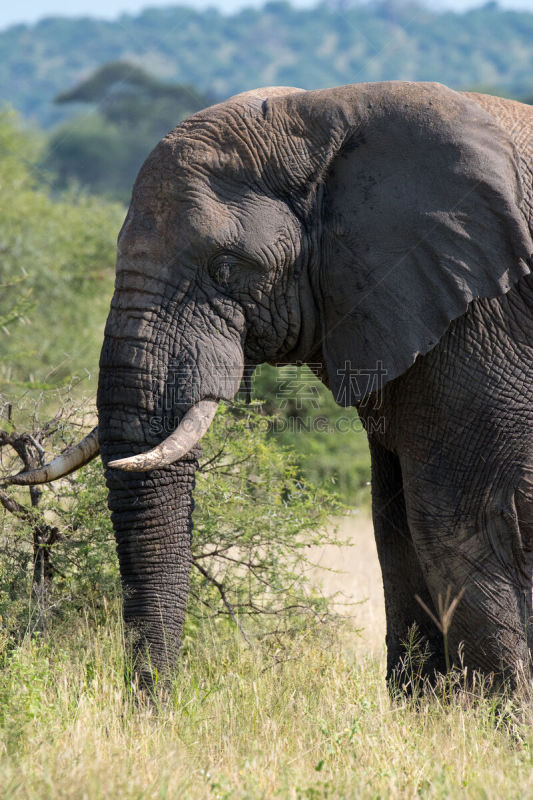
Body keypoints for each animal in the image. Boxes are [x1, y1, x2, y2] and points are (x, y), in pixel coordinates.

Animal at [7, 83, 532, 692]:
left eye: (226, 268)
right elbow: (394, 525)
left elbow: (459, 525)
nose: (155, 705)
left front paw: (492, 716)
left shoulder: (483, 323)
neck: (328, 114)